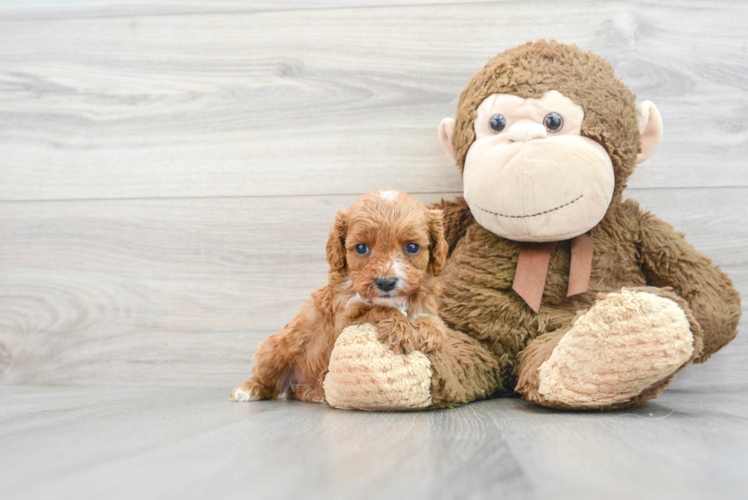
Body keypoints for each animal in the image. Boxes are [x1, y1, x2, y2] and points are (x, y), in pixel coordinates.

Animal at [231, 189, 448, 404]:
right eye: (361, 248)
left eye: (412, 247)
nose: (385, 282)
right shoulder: (344, 319)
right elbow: (376, 309)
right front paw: (400, 329)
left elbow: (431, 320)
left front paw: (429, 332)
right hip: (273, 351)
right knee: (267, 380)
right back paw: (248, 389)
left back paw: (313, 392)